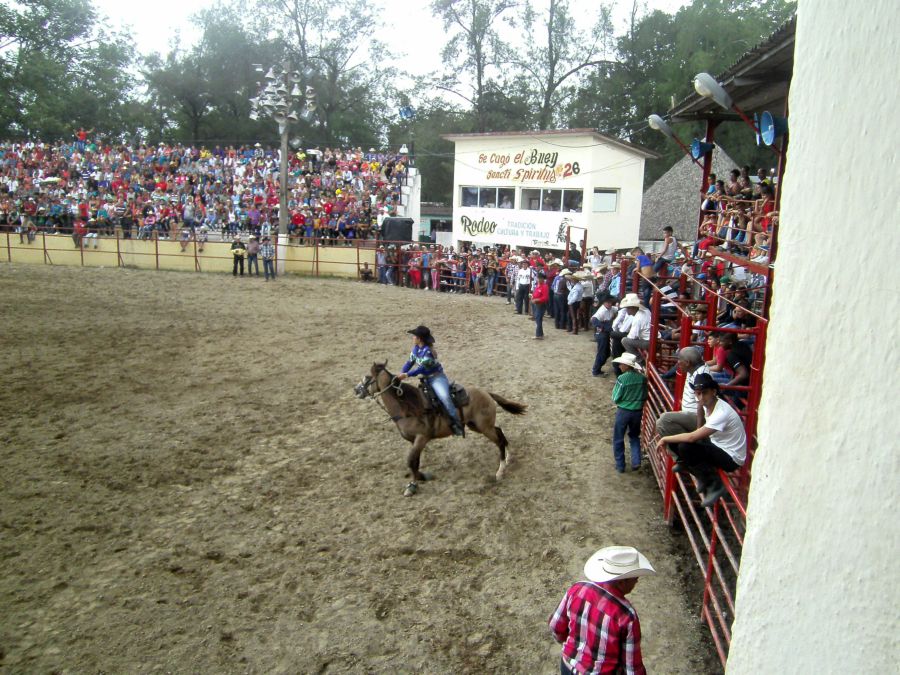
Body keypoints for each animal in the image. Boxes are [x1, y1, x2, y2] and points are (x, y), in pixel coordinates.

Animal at [356, 364, 528, 496]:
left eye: (368, 377)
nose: (356, 390)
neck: (408, 408)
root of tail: (486, 393)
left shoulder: (421, 438)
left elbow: (411, 461)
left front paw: (415, 483)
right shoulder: (414, 441)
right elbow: (415, 462)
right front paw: (418, 479)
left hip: (484, 427)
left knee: (499, 441)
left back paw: (500, 471)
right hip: (477, 425)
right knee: (500, 432)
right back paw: (508, 457)